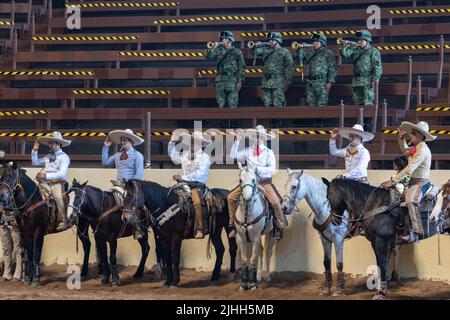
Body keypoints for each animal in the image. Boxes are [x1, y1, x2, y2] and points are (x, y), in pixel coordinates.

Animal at [234, 164, 276, 292]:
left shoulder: (256, 237)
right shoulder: (241, 238)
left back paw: (267, 276)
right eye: (240, 180)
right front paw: (244, 284)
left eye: (253, 180)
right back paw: (258, 276)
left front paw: (252, 285)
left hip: (272, 234)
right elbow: (244, 260)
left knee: (268, 252)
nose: (247, 198)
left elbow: (252, 259)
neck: (247, 213)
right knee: (261, 252)